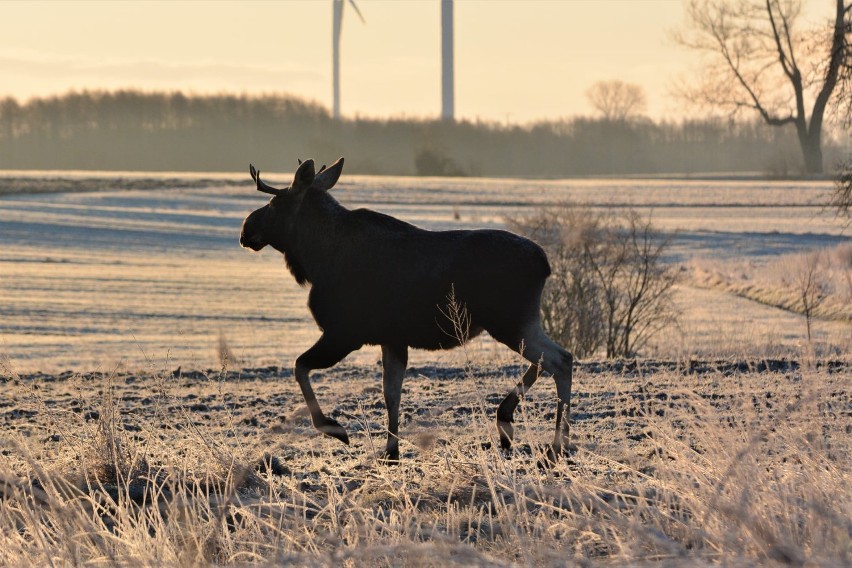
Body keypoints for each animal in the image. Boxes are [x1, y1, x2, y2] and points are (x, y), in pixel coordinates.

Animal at [240, 158, 572, 464]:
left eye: (274, 203)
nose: (246, 229)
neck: (315, 257)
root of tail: (544, 263)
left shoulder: (344, 332)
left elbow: (300, 366)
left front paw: (335, 428)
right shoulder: (392, 338)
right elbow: (391, 393)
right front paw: (391, 451)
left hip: (510, 321)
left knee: (560, 359)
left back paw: (555, 447)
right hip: (517, 322)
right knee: (552, 358)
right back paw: (512, 422)